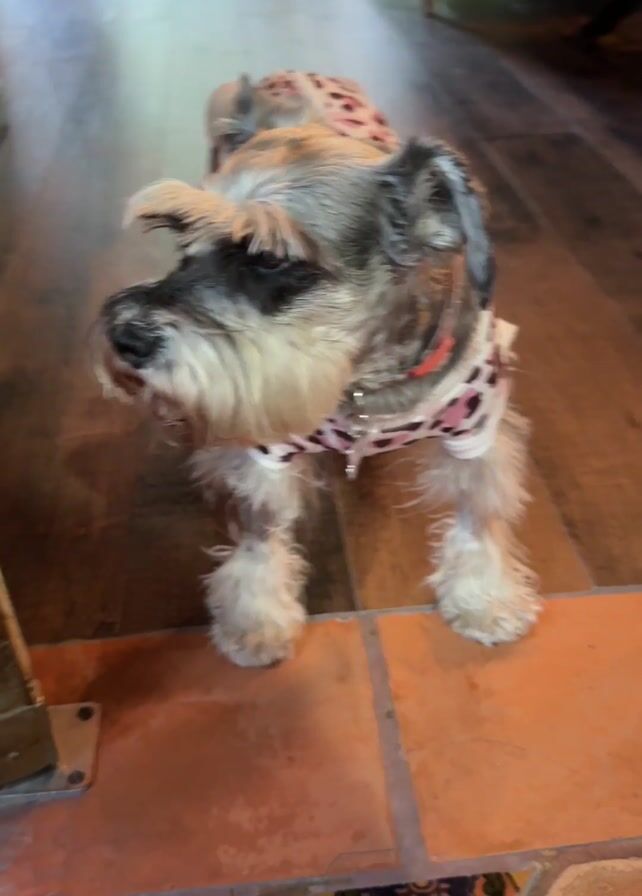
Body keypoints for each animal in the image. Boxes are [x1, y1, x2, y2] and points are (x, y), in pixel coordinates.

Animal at [94, 71, 541, 667]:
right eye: (181, 238)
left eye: (268, 258)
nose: (127, 338)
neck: (362, 379)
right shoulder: (265, 447)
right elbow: (260, 526)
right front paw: (256, 615)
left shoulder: (477, 430)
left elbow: (479, 510)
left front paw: (484, 596)